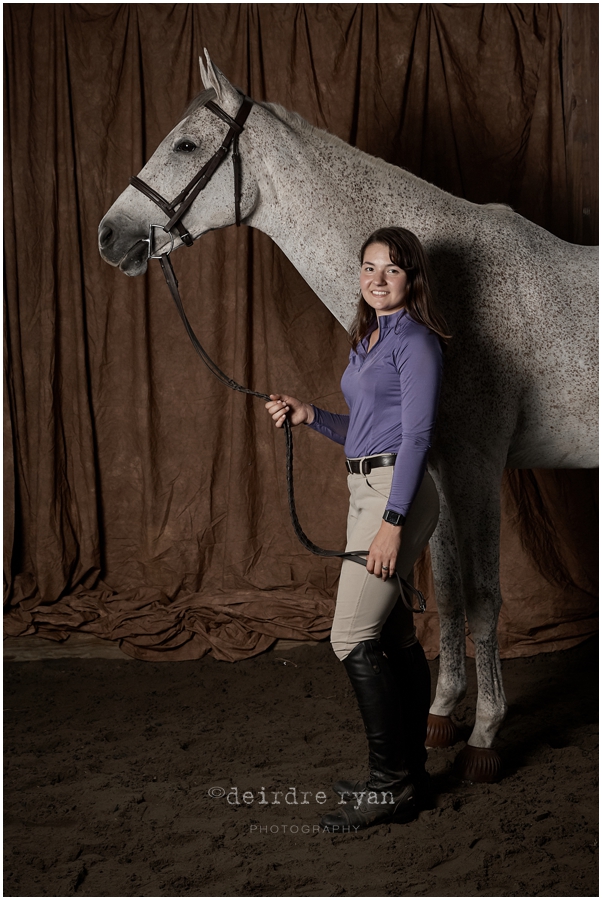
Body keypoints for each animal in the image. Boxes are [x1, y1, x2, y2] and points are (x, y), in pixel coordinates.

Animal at [98, 52, 596, 780]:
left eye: (186, 144)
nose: (110, 235)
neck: (440, 286)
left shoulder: (476, 467)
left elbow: (482, 595)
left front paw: (484, 735)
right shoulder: (436, 468)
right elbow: (448, 589)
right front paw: (442, 715)